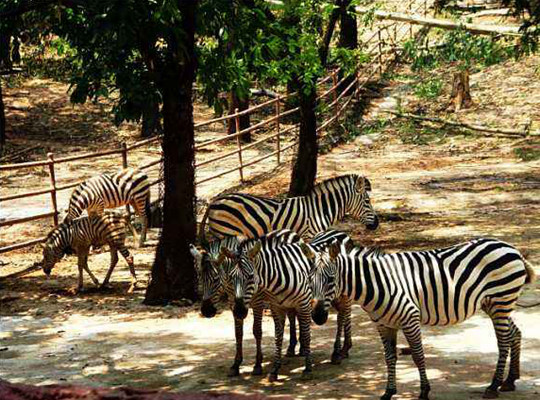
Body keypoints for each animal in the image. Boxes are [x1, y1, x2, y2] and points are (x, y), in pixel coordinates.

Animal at [190, 230, 306, 376]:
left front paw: (257, 365)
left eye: (216, 279)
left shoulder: (258, 302)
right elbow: (238, 333)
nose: (206, 311)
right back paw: (291, 347)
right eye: (199, 277)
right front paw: (236, 364)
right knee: (291, 315)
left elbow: (257, 331)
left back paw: (301, 348)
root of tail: (288, 231)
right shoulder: (233, 303)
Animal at [199, 173, 380, 241]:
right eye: (367, 201)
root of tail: (215, 201)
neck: (320, 210)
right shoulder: (309, 235)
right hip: (227, 233)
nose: (377, 224)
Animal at [308, 239, 536, 398]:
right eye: (310, 280)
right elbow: (389, 357)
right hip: (494, 305)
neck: (376, 283)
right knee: (515, 334)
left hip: (501, 301)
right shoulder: (383, 325)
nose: (317, 317)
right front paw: (389, 392)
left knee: (504, 341)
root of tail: (511, 248)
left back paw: (494, 385)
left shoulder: (410, 318)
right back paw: (510, 380)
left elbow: (418, 356)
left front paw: (424, 391)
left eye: (331, 279)